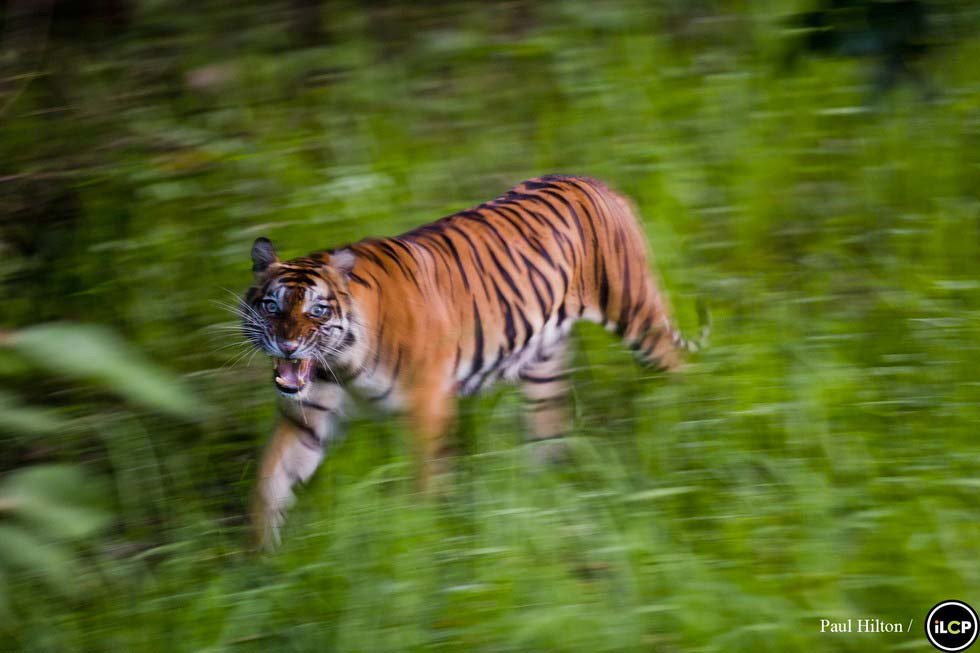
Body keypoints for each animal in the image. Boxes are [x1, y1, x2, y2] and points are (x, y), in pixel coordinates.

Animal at [241, 174, 708, 552]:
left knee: (678, 367)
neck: (340, 364)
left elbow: (424, 478)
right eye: (271, 306)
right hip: (544, 364)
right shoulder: (306, 417)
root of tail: (599, 182)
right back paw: (542, 495)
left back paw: (687, 427)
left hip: (636, 314)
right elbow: (270, 481)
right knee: (548, 429)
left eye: (317, 310)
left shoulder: (427, 404)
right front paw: (261, 562)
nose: (287, 345)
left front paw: (421, 536)